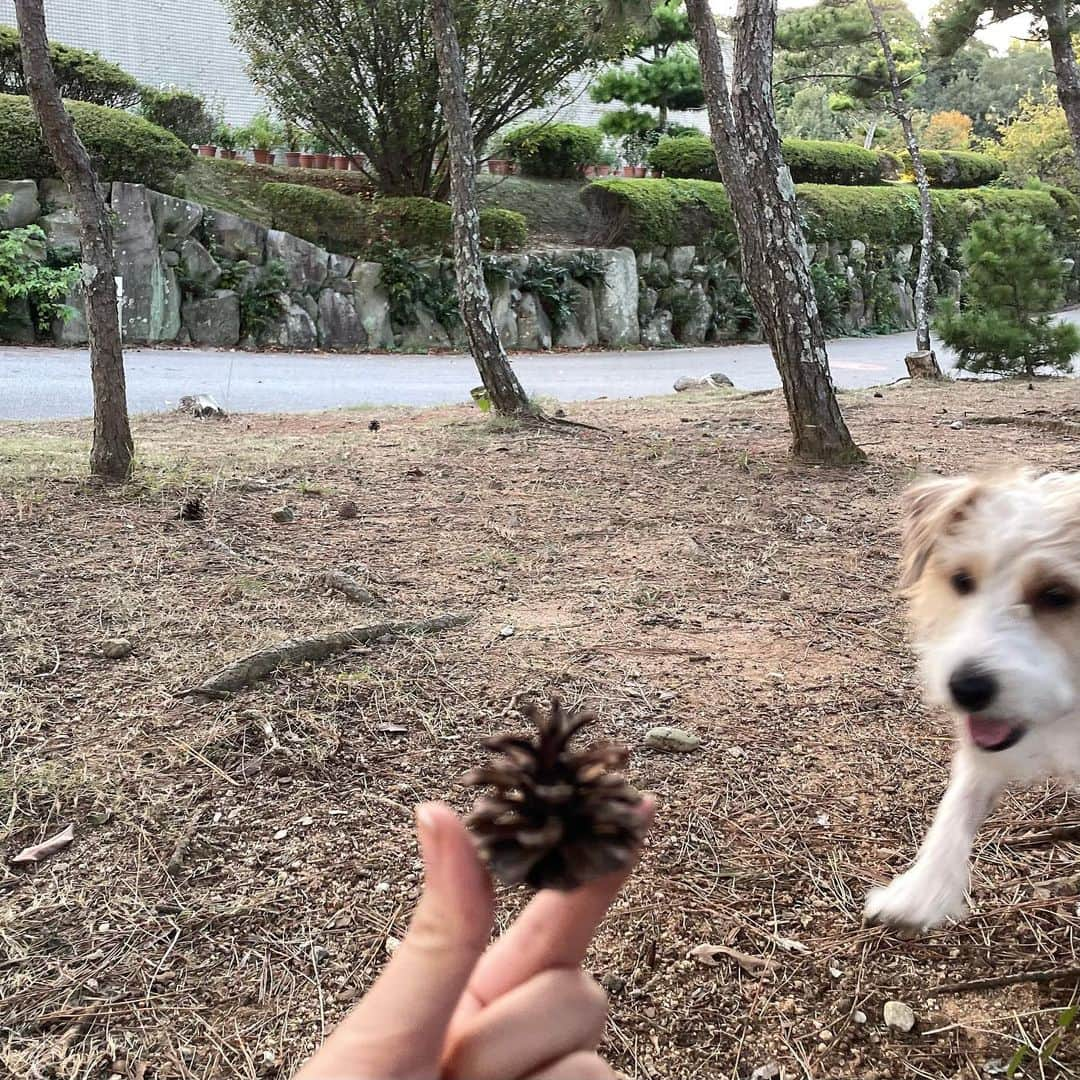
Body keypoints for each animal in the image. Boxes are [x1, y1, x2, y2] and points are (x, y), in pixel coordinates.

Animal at [864, 468, 1080, 933]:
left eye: (1058, 595)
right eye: (962, 581)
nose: (966, 688)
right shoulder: (983, 753)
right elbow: (956, 806)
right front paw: (921, 891)